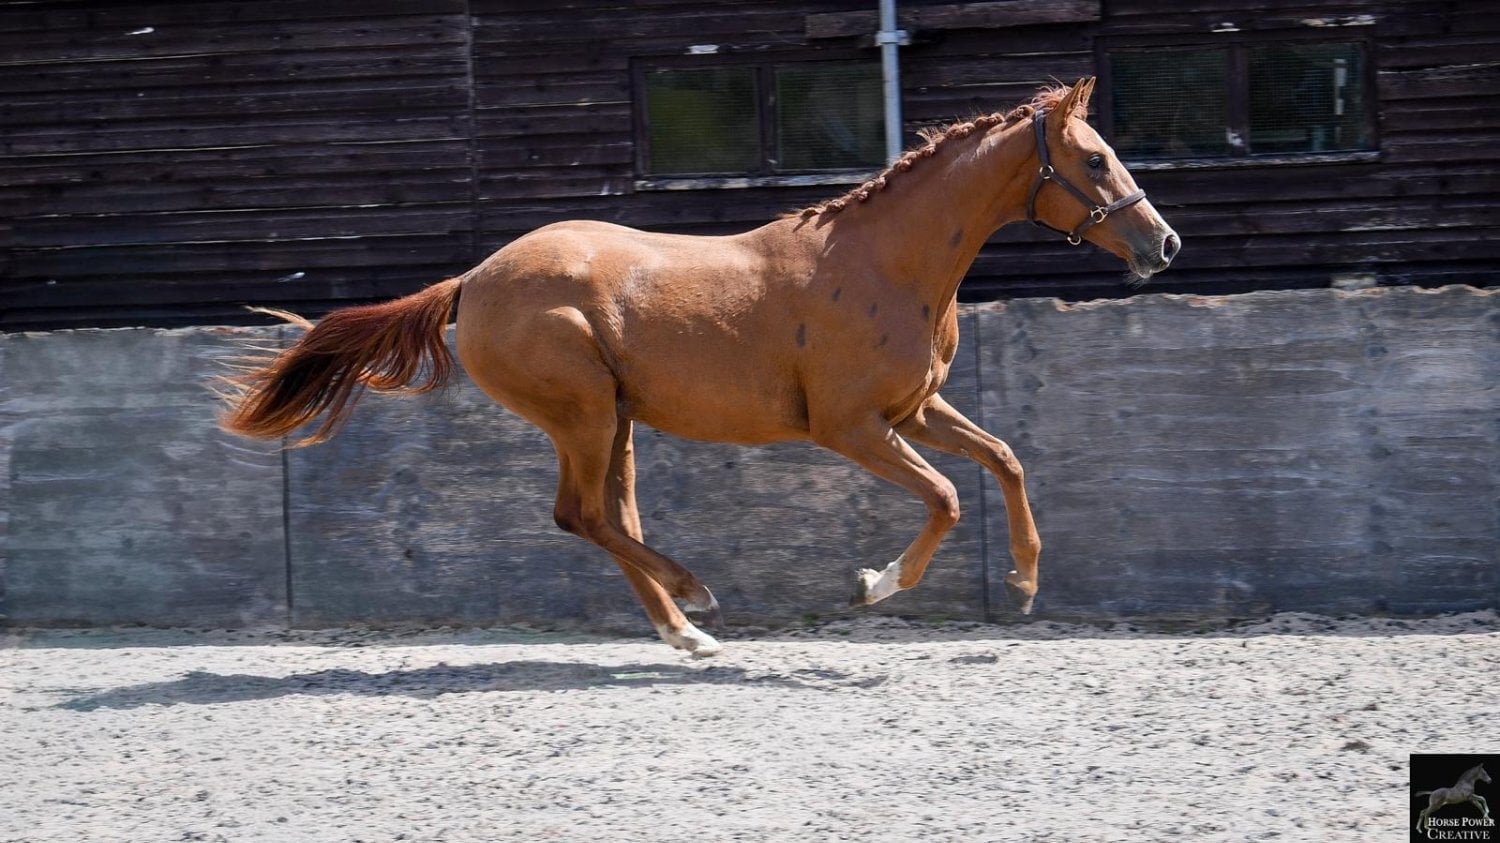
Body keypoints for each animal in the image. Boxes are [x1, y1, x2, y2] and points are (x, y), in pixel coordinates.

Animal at [220, 78, 1179, 656]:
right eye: (1095, 159)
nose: (1162, 243)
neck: (884, 261)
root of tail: (473, 281)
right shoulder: (850, 427)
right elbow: (945, 495)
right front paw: (875, 586)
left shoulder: (913, 410)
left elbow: (1005, 459)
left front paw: (1023, 582)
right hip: (584, 413)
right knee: (581, 515)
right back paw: (698, 598)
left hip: (616, 422)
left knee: (608, 516)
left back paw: (686, 630)